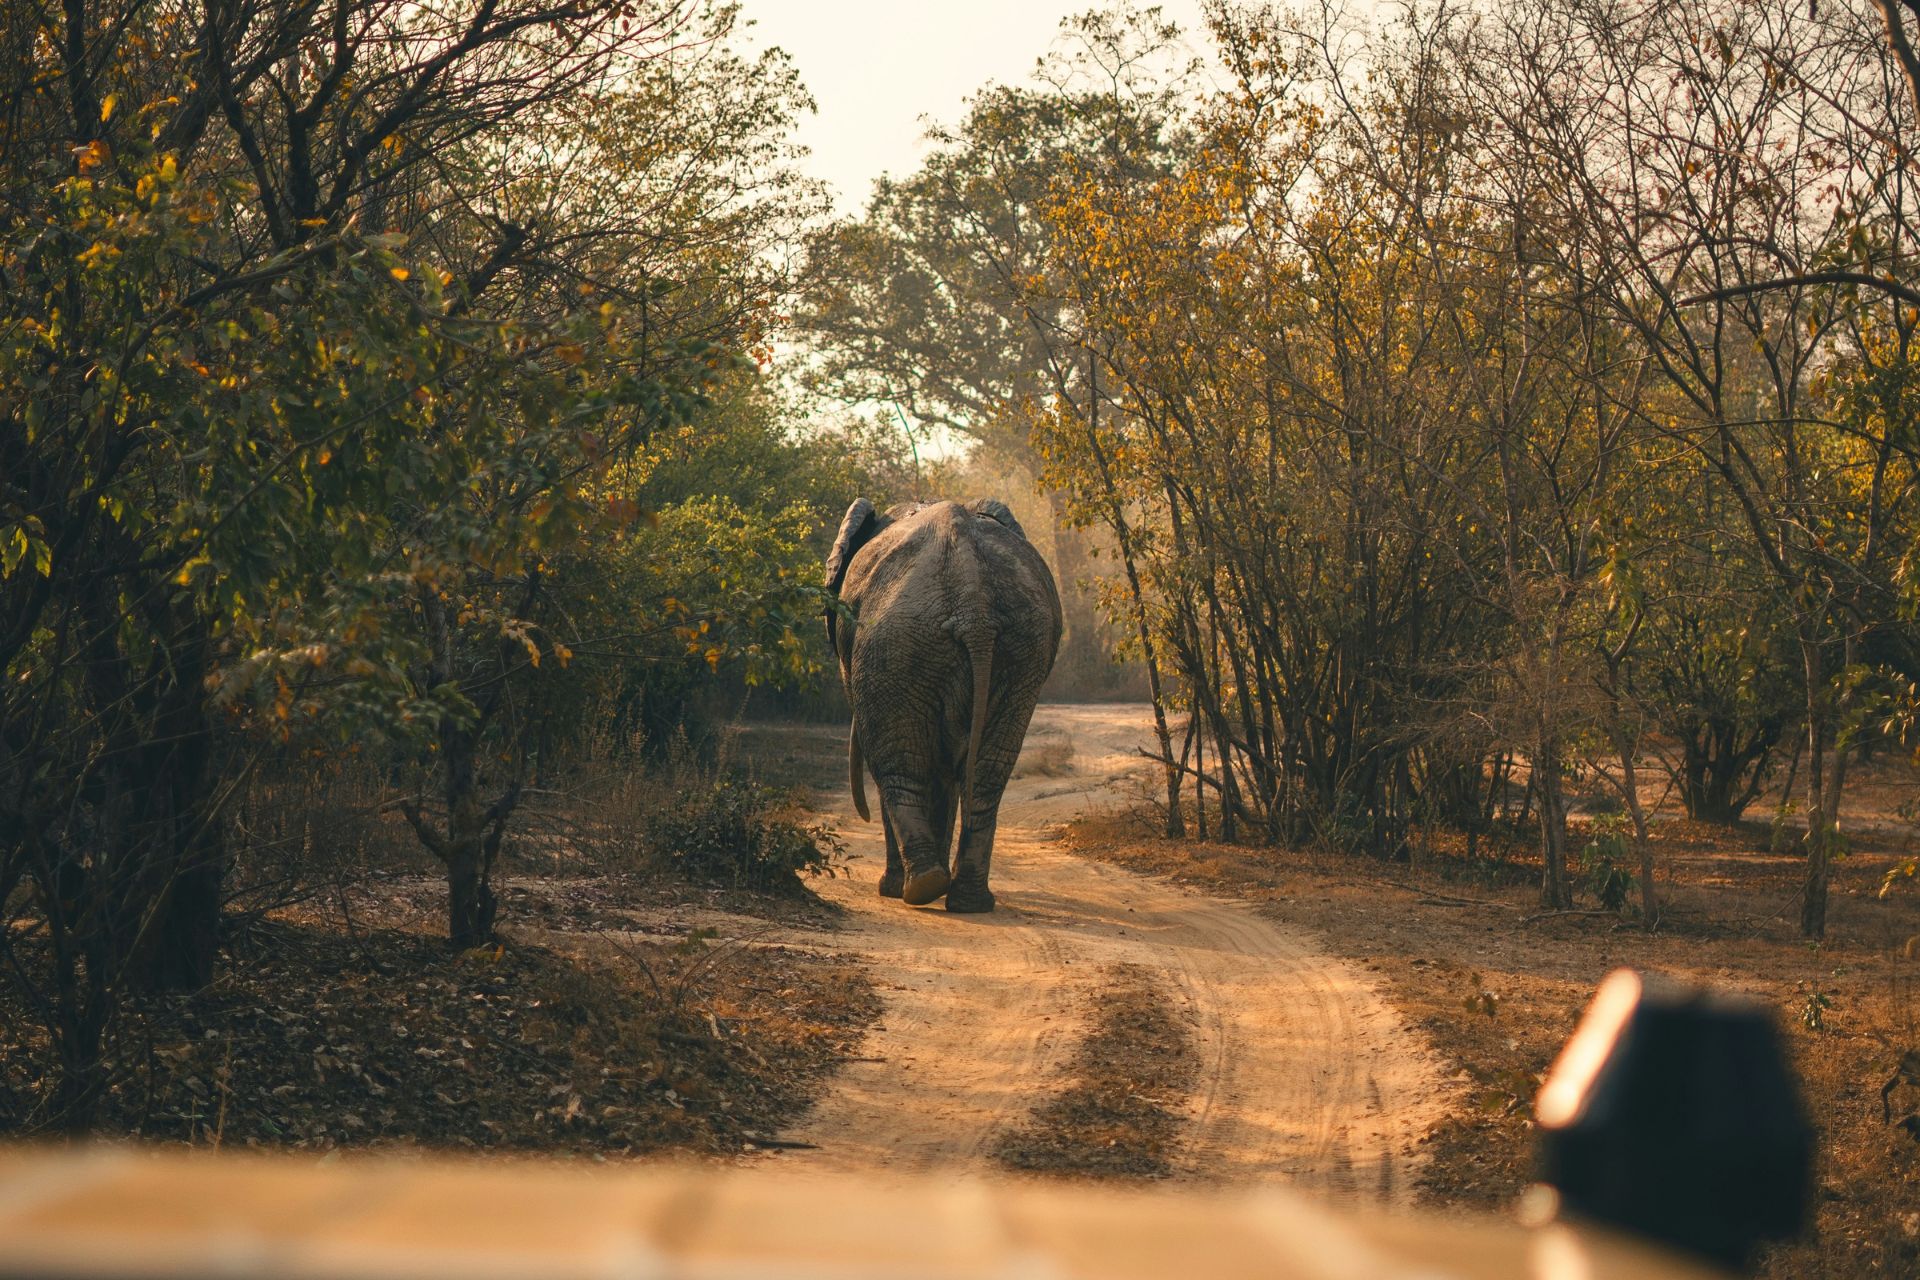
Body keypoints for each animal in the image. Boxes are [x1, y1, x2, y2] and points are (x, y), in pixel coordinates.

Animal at [825, 498, 1063, 912]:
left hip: (895, 644)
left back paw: (918, 889)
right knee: (986, 773)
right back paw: (968, 900)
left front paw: (895, 888)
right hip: (1023, 651)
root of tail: (973, 605)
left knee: (899, 763)